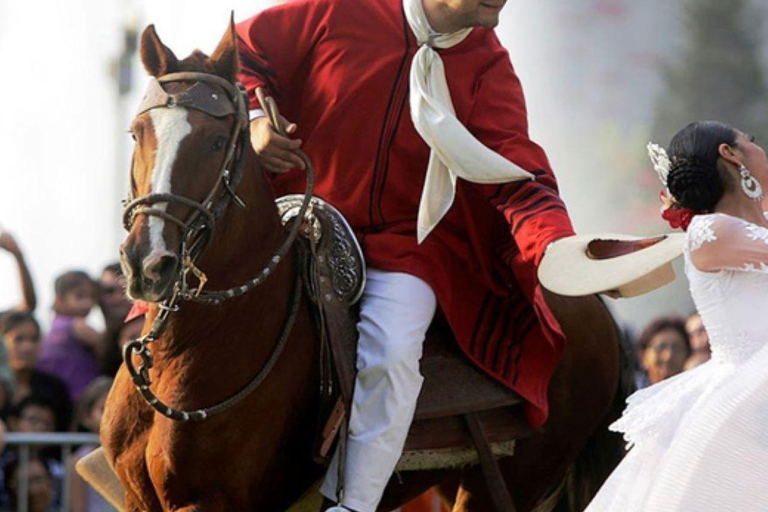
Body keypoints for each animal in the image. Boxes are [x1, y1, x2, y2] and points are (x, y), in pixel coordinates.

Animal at [105, 22, 632, 512]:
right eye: (136, 132)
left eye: (216, 142)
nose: (148, 262)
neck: (193, 346)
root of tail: (597, 313)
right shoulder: (137, 497)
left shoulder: (208, 500)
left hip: (506, 484)